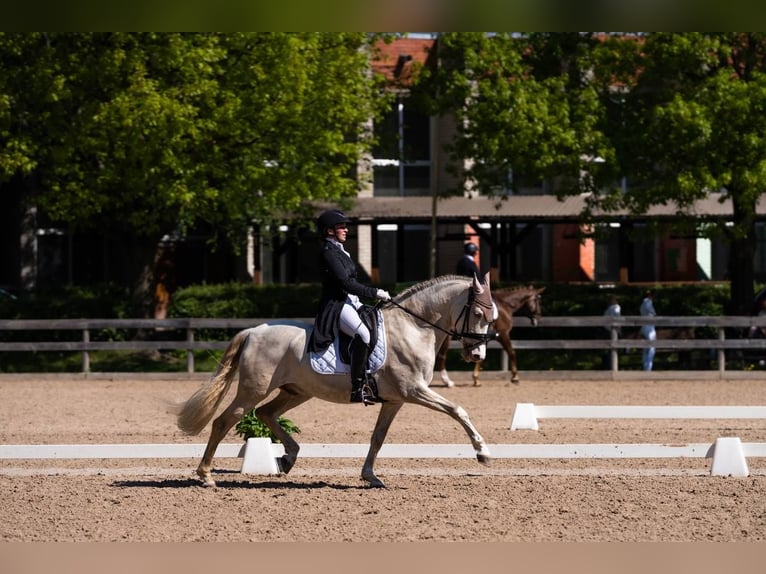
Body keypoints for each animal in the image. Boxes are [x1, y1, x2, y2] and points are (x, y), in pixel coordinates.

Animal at [175, 273, 496, 489]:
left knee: (266, 413)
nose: (477, 354)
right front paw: (483, 453)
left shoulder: (395, 400)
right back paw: (205, 476)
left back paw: (288, 458)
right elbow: (458, 410)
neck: (415, 327)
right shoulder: (415, 390)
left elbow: (378, 437)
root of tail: (254, 330)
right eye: (478, 312)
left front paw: (370, 476)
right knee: (224, 421)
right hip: (254, 390)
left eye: (491, 317)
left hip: (296, 391)